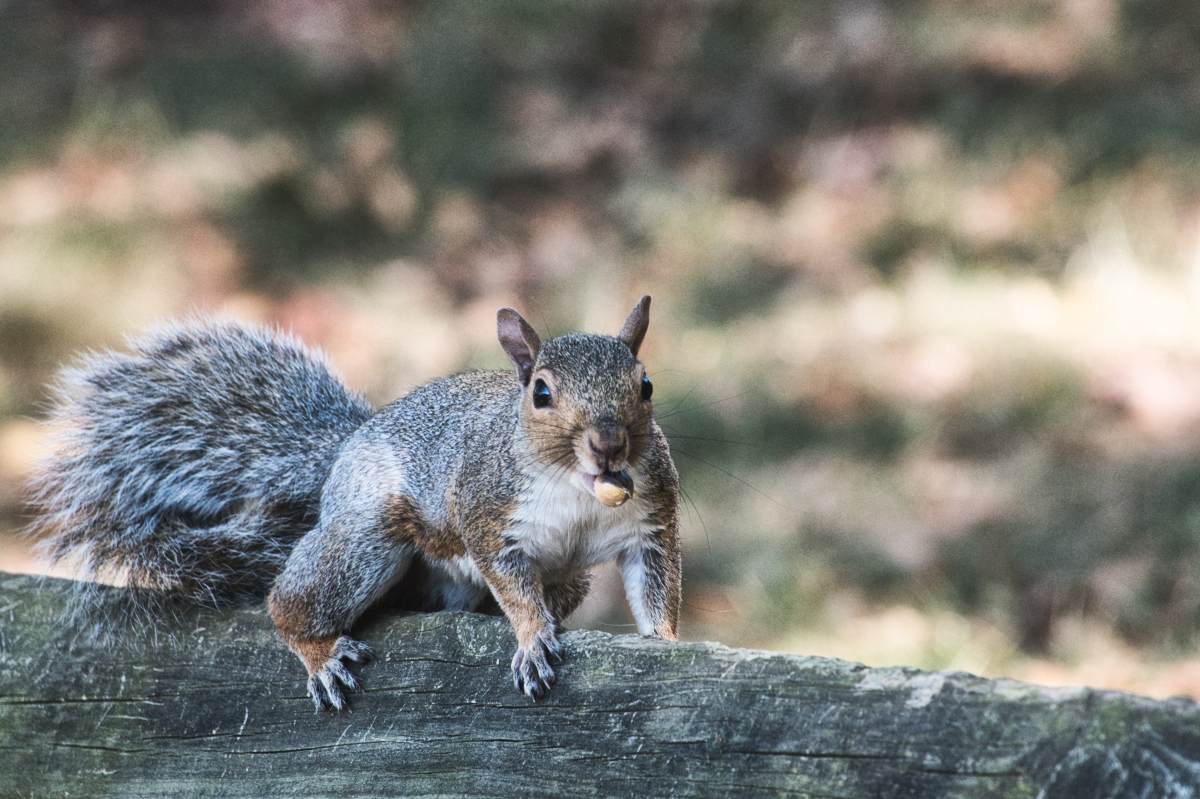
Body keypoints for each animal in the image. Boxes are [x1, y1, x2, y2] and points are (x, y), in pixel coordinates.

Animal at [28, 295, 681, 705]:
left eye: (646, 385)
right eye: (542, 393)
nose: (608, 446)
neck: (579, 490)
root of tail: (340, 457)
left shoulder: (649, 527)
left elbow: (656, 588)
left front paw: (666, 643)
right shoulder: (487, 514)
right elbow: (514, 586)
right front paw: (532, 639)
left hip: (560, 581)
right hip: (369, 539)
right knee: (287, 602)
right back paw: (319, 652)